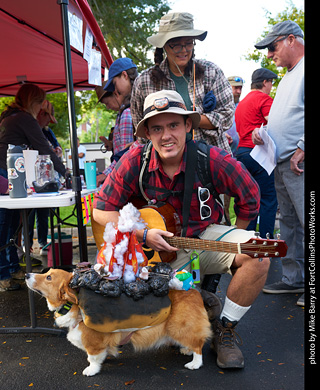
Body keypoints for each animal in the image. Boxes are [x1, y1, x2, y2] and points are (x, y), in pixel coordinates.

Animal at [25, 270, 212, 376]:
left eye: (49, 277)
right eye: (47, 271)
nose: (27, 275)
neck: (73, 305)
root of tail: (193, 290)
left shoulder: (93, 342)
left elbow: (93, 357)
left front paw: (91, 370)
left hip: (179, 328)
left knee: (198, 346)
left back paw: (194, 363)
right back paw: (186, 350)